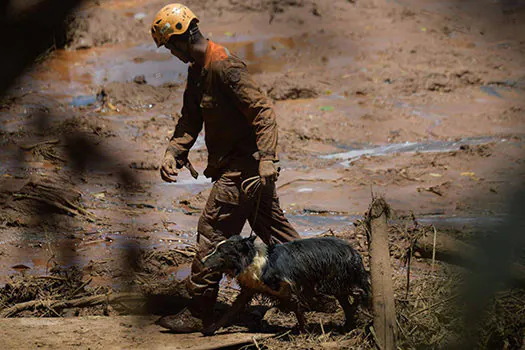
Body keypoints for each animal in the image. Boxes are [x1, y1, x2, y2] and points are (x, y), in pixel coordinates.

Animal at [201, 234, 368, 334]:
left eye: (221, 252)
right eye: (215, 249)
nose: (202, 261)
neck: (252, 259)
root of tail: (353, 251)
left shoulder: (290, 289)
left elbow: (299, 310)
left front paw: (304, 332)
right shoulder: (248, 290)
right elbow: (230, 312)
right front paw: (210, 329)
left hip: (333, 283)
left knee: (357, 292)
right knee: (348, 304)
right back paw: (347, 327)